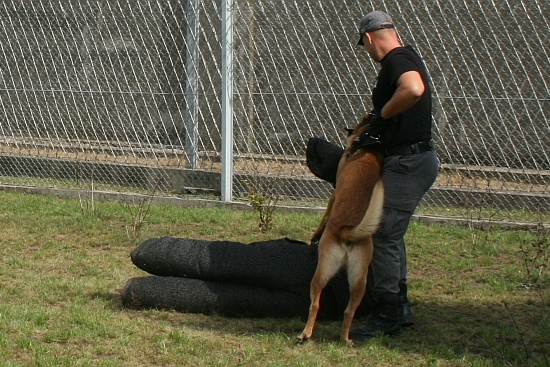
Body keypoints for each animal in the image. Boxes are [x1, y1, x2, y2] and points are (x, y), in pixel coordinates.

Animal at [300, 115, 386, 348]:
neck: (367, 148)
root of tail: (349, 233)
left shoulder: (334, 193)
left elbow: (325, 214)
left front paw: (315, 234)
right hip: (359, 280)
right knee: (349, 312)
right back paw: (345, 339)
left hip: (321, 272)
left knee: (315, 305)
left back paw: (305, 334)